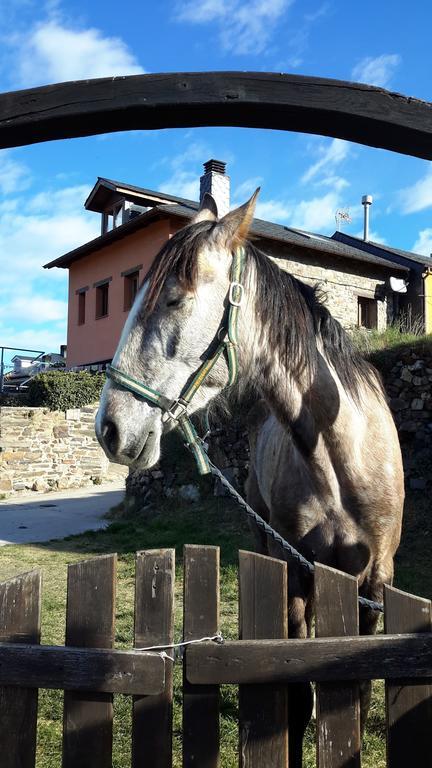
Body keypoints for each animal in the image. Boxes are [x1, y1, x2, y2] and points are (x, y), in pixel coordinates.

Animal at [96, 189, 404, 764]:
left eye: (174, 300)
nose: (109, 428)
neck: (342, 458)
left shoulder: (377, 578)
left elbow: (359, 680)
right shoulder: (297, 567)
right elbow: (299, 676)